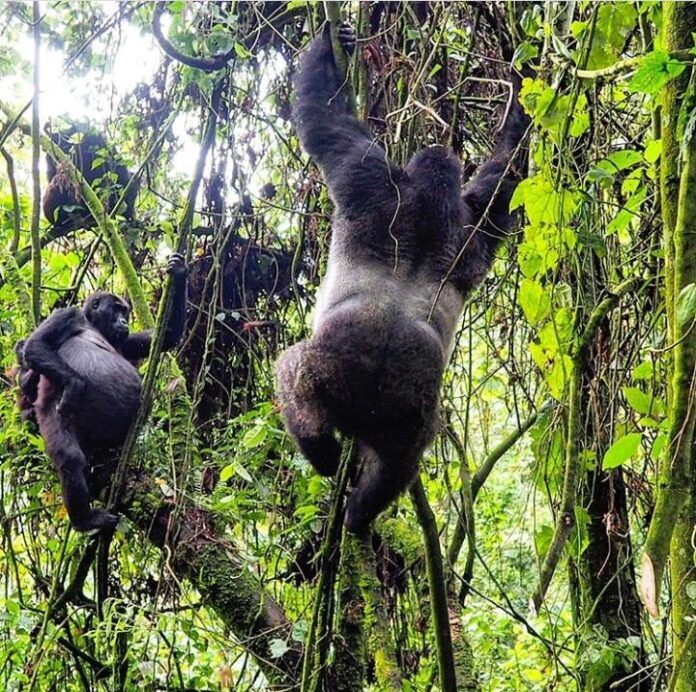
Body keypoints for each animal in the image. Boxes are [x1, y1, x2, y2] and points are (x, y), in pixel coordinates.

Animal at [17, 254, 188, 528]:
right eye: (116, 309)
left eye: (125, 311)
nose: (124, 321)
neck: (92, 323)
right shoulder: (68, 314)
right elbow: (35, 345)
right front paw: (74, 385)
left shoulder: (125, 340)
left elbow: (165, 337)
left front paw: (180, 272)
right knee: (70, 457)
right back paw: (85, 520)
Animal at [274, 25, 532, 536]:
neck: (430, 203)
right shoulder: (476, 216)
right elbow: (509, 167)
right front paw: (526, 71)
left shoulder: (365, 171)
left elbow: (323, 120)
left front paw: (328, 46)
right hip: (408, 412)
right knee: (401, 461)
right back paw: (364, 506)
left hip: (342, 371)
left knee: (296, 373)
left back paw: (322, 452)